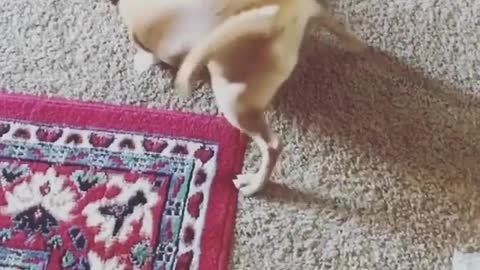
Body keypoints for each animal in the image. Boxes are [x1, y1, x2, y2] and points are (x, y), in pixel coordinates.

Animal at [113, 0, 368, 195]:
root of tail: (281, 19)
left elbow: (147, 52)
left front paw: (144, 60)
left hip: (233, 101)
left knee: (273, 147)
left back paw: (254, 186)